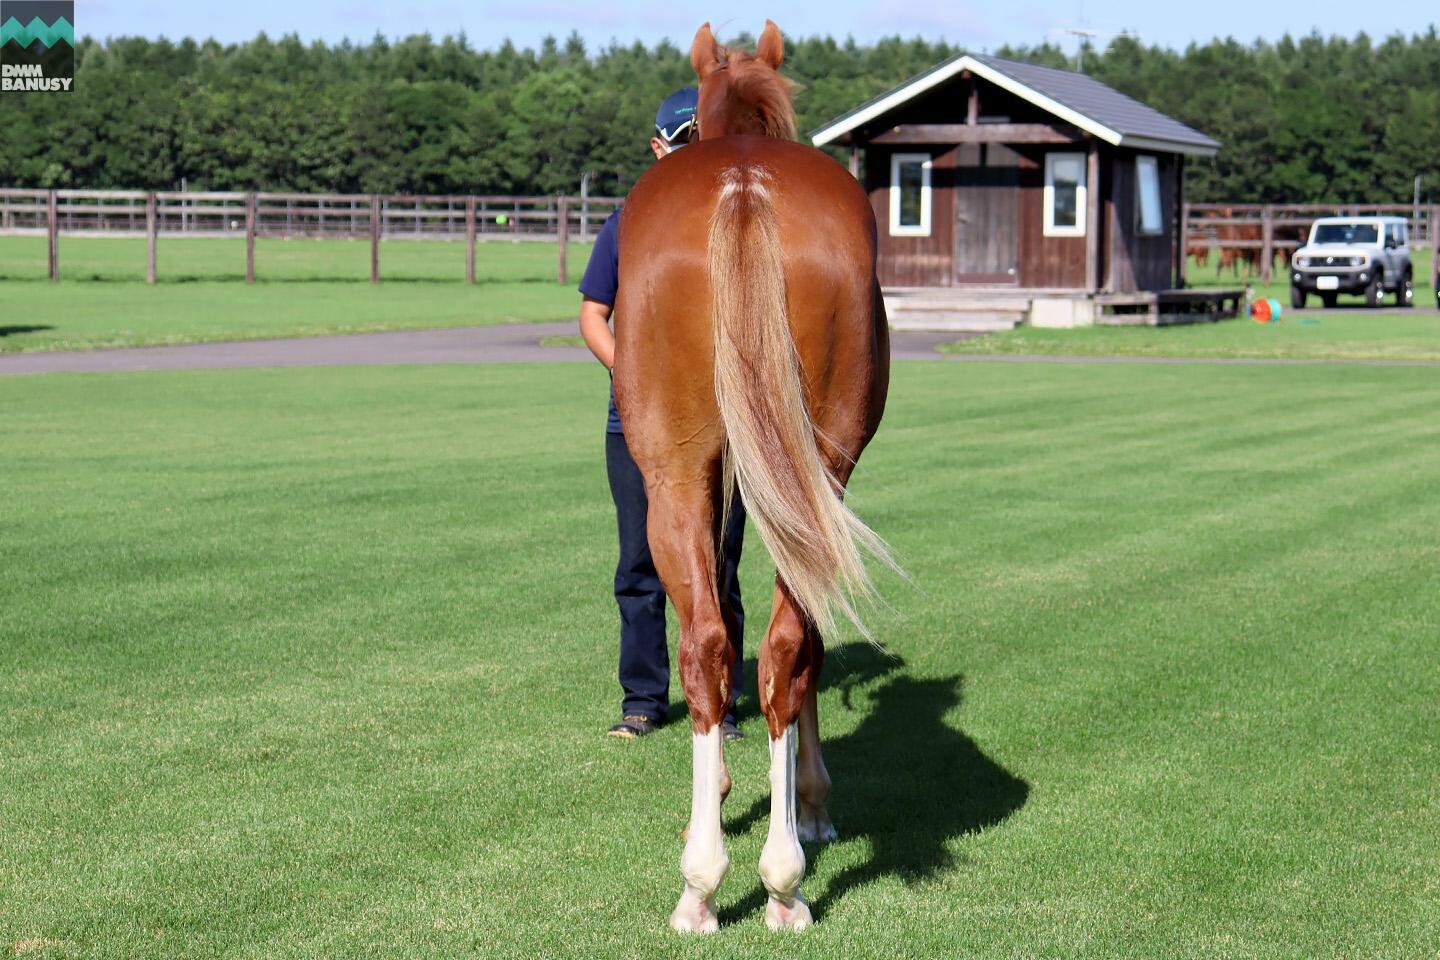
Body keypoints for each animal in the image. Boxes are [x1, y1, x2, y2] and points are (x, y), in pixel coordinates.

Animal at [613, 20, 892, 932]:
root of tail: (741, 185)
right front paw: (805, 804)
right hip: (797, 470)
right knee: (761, 644)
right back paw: (768, 878)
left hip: (682, 474)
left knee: (721, 644)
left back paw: (723, 882)